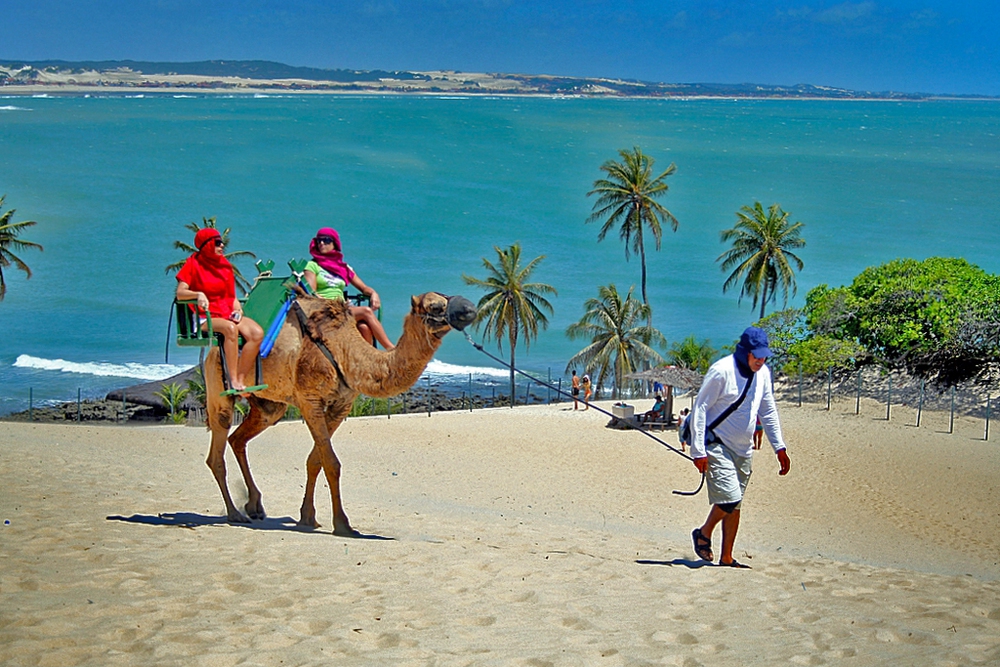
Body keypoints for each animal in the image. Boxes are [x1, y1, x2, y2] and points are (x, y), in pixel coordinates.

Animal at [201, 292, 474, 536]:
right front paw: (343, 524)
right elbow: (331, 463)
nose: (470, 308)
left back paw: (254, 506)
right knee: (217, 450)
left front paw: (308, 517)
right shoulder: (310, 399)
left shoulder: (341, 405)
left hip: (269, 405)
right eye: (436, 306)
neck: (344, 350)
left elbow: (316, 460)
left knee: (239, 438)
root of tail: (212, 348)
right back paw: (234, 513)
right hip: (219, 385)